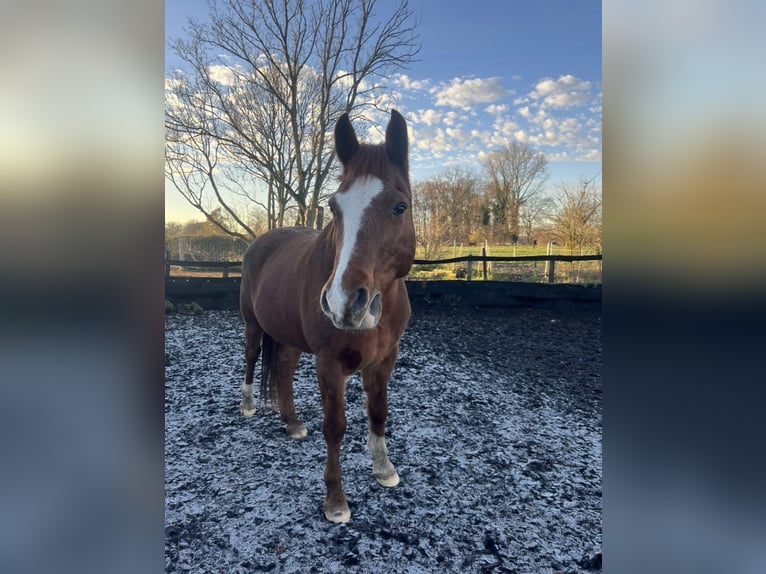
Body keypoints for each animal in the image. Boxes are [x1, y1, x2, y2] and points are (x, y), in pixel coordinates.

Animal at [243, 110, 416, 524]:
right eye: (335, 208)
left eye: (399, 207)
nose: (343, 303)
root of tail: (261, 241)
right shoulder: (330, 364)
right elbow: (335, 427)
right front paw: (335, 500)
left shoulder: (386, 359)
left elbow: (378, 411)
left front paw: (384, 470)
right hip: (252, 323)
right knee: (252, 357)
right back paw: (248, 405)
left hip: (287, 335)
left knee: (284, 370)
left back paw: (291, 423)